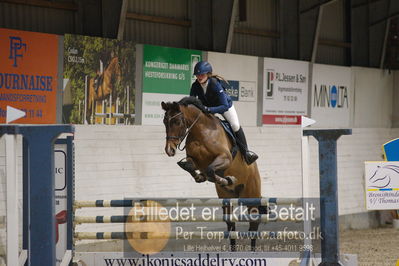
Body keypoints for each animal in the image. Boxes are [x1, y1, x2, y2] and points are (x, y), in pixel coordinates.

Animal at [161, 96, 264, 250]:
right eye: (164, 122)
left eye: (177, 122)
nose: (170, 150)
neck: (201, 132)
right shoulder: (195, 161)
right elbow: (189, 166)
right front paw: (202, 177)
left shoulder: (225, 158)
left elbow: (210, 170)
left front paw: (227, 179)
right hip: (227, 197)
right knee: (231, 225)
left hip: (251, 194)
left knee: (253, 225)